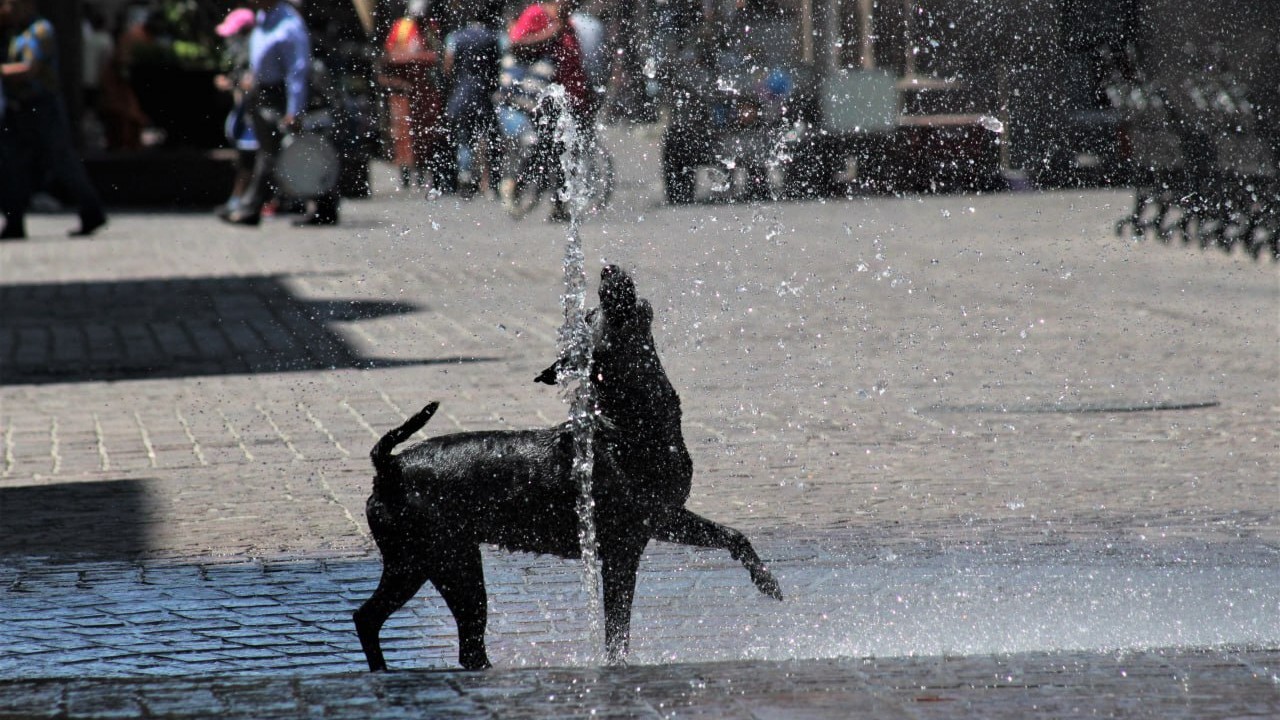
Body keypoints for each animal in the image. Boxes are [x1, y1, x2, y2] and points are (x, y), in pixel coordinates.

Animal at [355, 266, 783, 671]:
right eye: (596, 316)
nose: (607, 269)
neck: (630, 421)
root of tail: (389, 467)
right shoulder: (623, 550)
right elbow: (617, 629)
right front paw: (615, 665)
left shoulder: (664, 518)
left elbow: (732, 535)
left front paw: (767, 581)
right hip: (449, 562)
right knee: (464, 645)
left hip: (415, 563)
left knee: (368, 617)